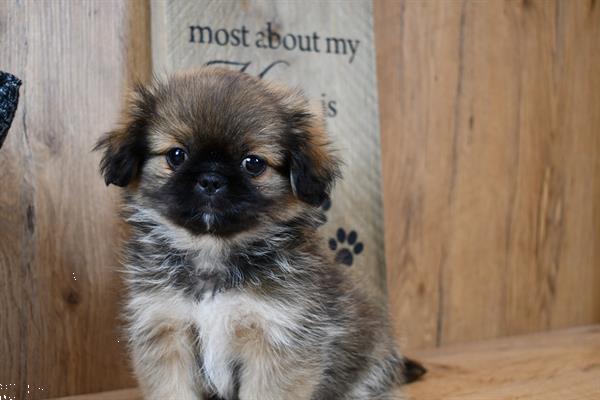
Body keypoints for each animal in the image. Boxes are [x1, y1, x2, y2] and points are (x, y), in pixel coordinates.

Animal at [97, 67, 408, 398]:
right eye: (176, 155)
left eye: (253, 163)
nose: (211, 179)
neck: (212, 253)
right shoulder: (165, 329)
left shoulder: (275, 337)